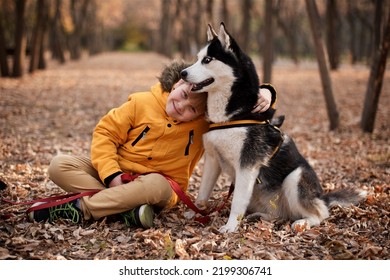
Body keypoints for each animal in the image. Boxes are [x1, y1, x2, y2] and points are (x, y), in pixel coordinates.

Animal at [181, 21, 368, 233]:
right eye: (197, 58)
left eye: (207, 59)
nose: (182, 73)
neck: (229, 117)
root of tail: (321, 197)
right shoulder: (213, 159)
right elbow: (203, 192)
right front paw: (194, 212)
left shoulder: (247, 166)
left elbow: (237, 201)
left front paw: (230, 227)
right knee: (278, 215)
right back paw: (259, 216)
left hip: (295, 178)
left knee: (320, 213)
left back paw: (303, 222)